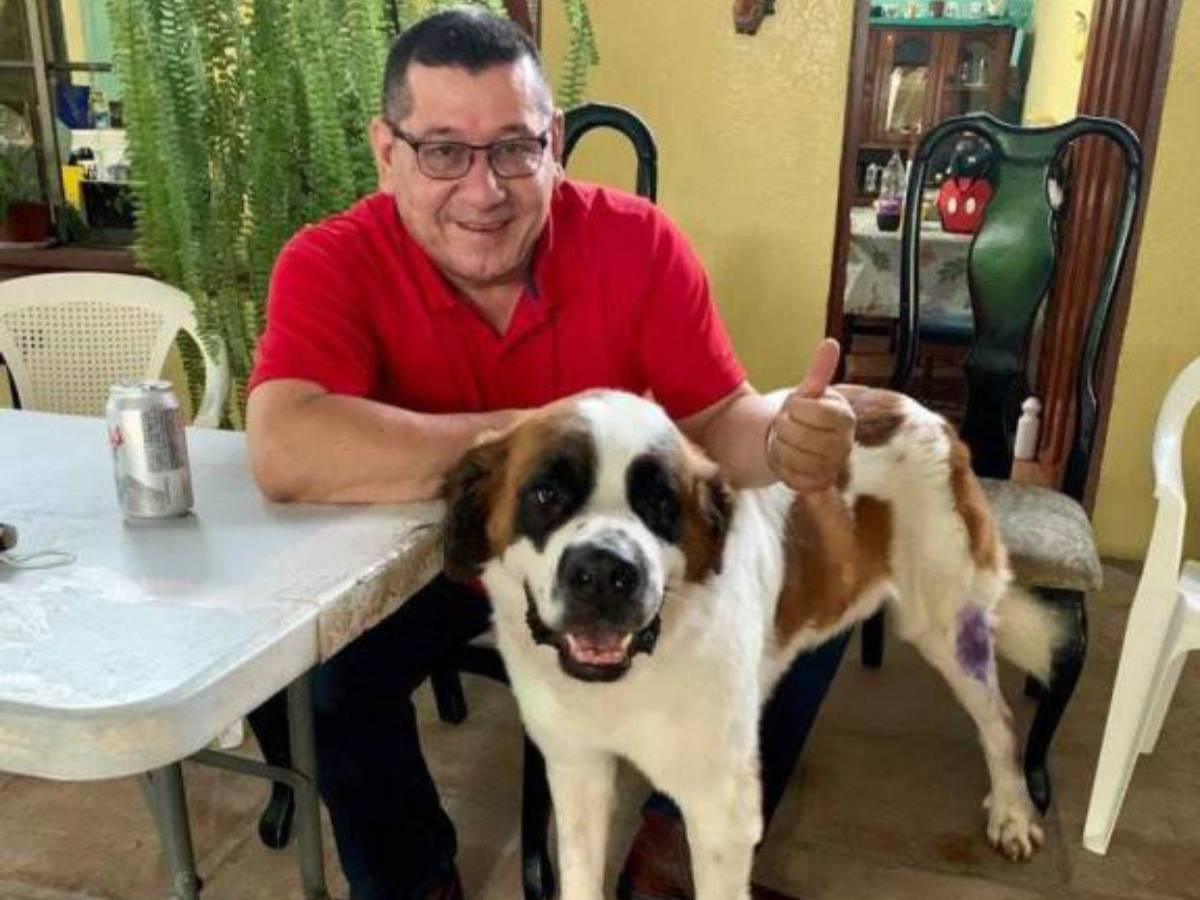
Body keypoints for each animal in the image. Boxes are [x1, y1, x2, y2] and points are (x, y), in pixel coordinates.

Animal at [442, 386, 1064, 900]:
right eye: (546, 494)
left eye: (661, 504)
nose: (604, 572)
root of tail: (928, 413)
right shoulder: (577, 771)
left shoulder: (721, 808)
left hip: (945, 622)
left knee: (999, 721)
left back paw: (1013, 812)